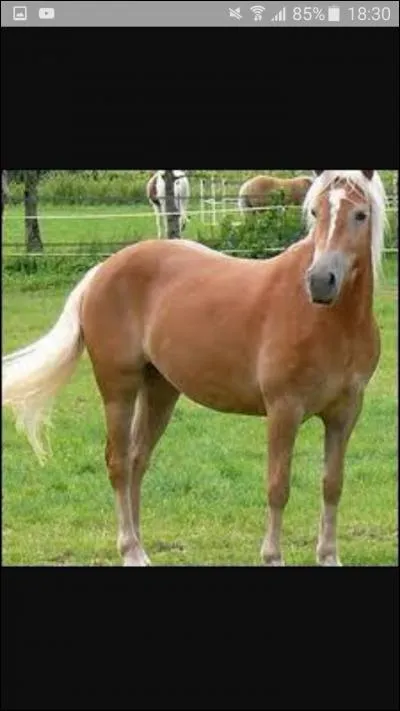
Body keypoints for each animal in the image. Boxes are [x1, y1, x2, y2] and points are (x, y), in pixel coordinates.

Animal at [2, 170, 387, 566]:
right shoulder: (284, 410)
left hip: (160, 390)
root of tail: (103, 270)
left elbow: (332, 484)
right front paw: (272, 556)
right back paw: (130, 549)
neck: (328, 322)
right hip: (117, 389)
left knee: (138, 461)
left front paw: (328, 556)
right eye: (315, 212)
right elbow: (278, 486)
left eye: (360, 214)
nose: (320, 281)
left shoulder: (344, 414)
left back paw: (141, 546)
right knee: (118, 463)